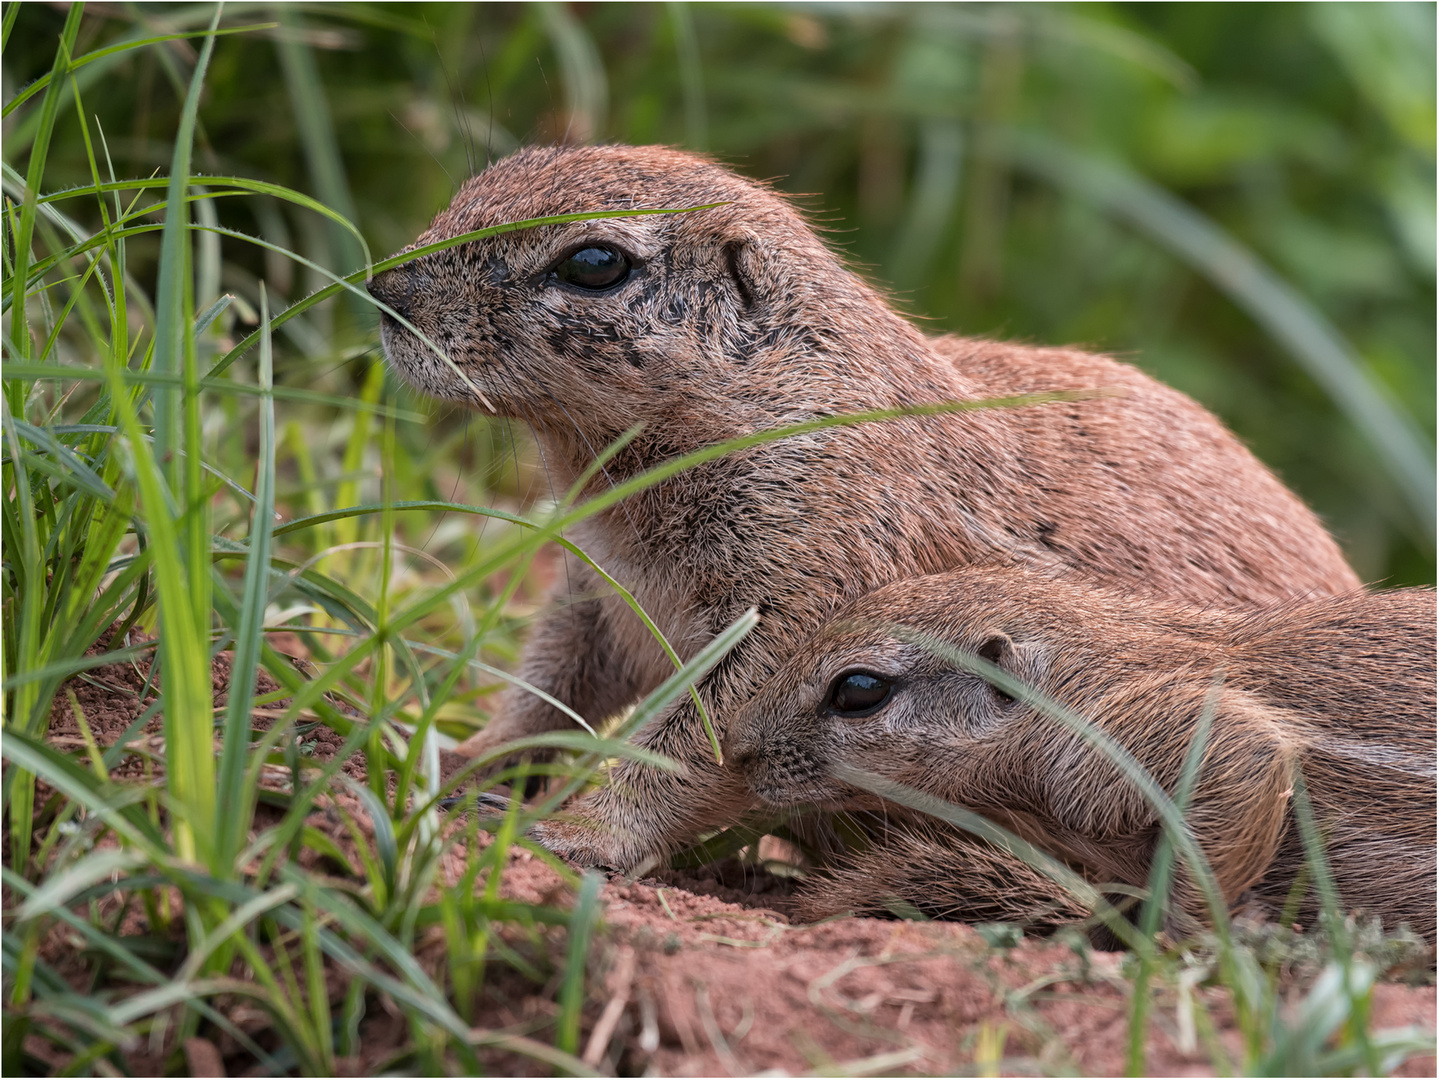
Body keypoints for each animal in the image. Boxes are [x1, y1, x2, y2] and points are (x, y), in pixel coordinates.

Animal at [371, 145, 1358, 868]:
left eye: (592, 262)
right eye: (476, 182)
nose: (381, 292)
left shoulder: (800, 594)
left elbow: (691, 741)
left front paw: (578, 835)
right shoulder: (596, 590)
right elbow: (547, 690)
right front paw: (453, 760)